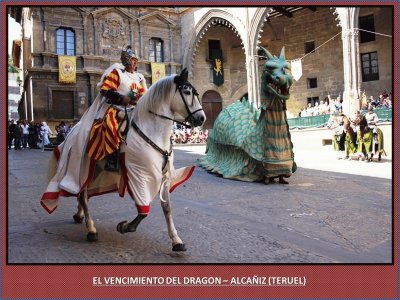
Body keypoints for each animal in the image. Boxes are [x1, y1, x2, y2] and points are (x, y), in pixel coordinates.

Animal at [44, 68, 206, 251]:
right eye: (187, 91)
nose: (201, 118)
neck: (152, 131)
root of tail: (73, 131)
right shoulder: (140, 175)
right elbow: (143, 211)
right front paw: (125, 226)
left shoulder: (164, 176)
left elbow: (167, 208)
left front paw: (176, 240)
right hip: (84, 166)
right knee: (84, 195)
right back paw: (91, 228)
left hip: (96, 169)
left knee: (81, 193)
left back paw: (79, 215)